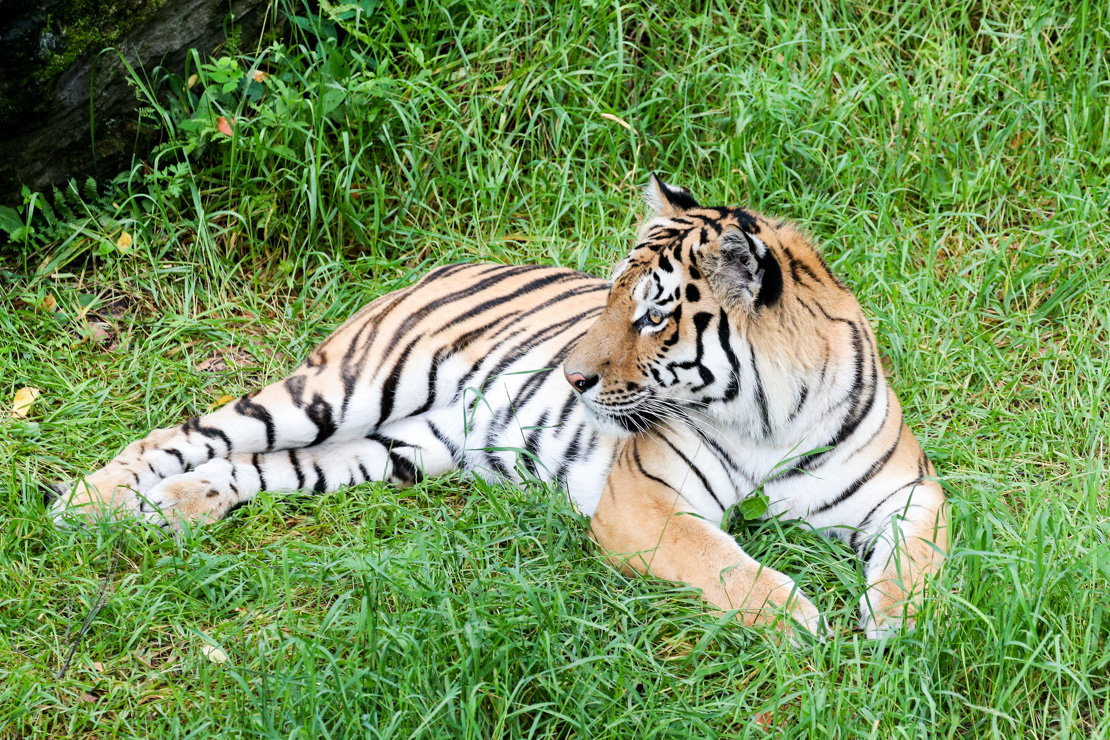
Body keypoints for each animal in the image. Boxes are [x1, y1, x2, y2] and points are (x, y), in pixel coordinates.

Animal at [49, 176, 945, 639]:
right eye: (610, 296)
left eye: (653, 315)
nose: (572, 378)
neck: (767, 416)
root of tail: (442, 264)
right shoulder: (646, 502)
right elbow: (717, 560)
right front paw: (798, 618)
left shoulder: (909, 489)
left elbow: (923, 554)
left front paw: (893, 621)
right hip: (341, 389)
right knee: (192, 429)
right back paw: (93, 502)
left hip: (394, 449)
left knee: (261, 464)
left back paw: (177, 504)